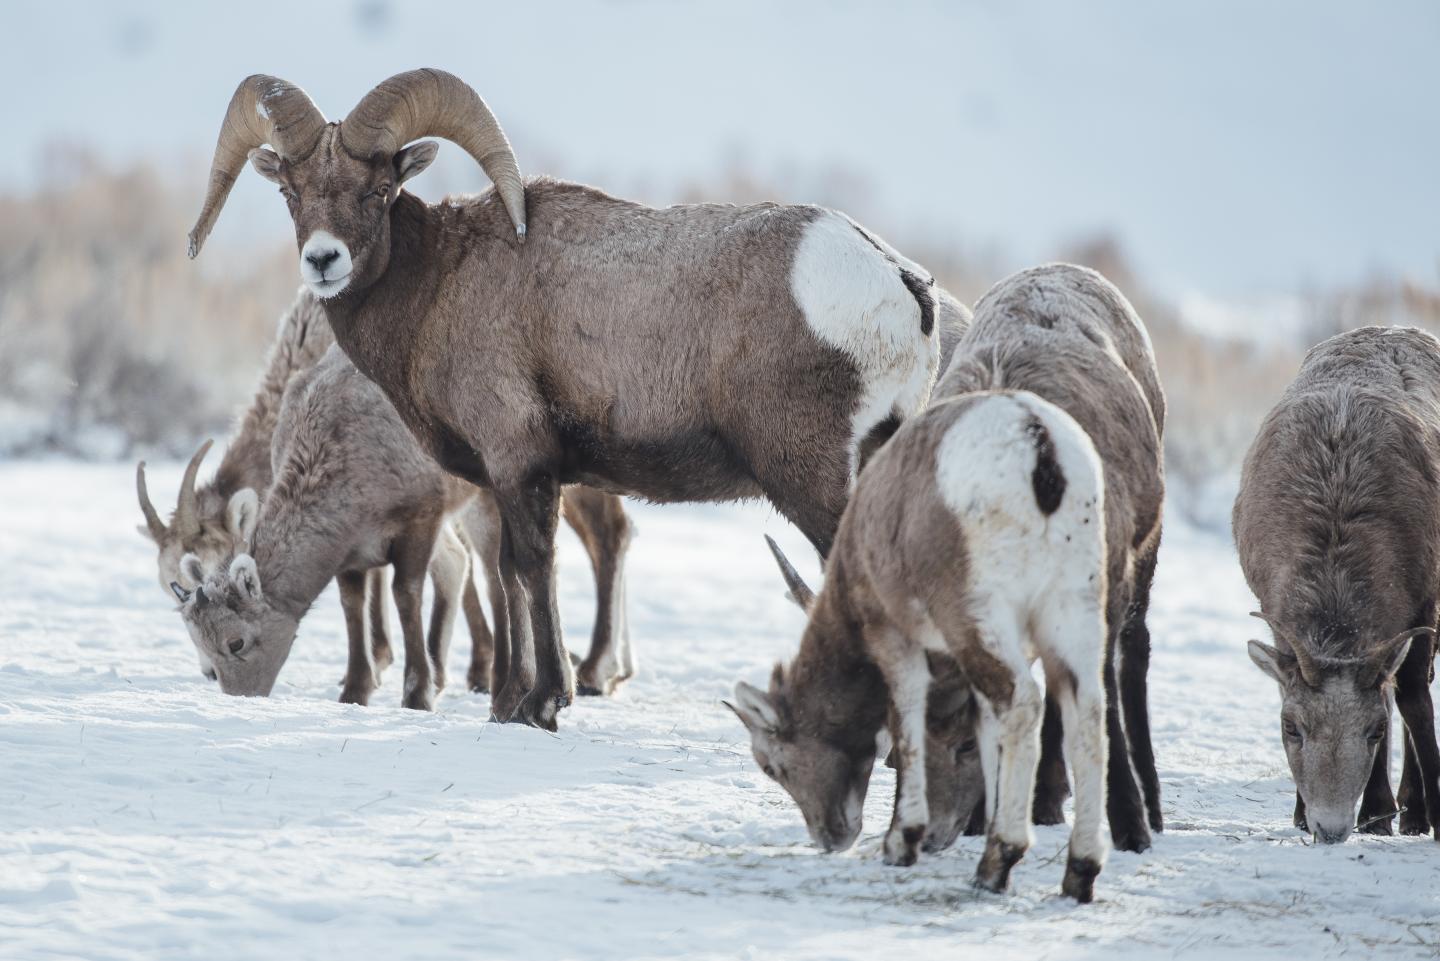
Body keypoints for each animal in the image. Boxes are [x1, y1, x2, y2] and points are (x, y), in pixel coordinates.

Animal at [182, 69, 944, 729]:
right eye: (293, 191)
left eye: (378, 188)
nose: (323, 260)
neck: (438, 287)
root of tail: (902, 283)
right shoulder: (500, 479)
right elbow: (508, 573)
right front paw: (512, 702)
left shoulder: (519, 462)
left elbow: (532, 566)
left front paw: (544, 701)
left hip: (809, 477)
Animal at [731, 391, 1111, 904]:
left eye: (770, 766)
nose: (831, 837)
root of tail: (1041, 449)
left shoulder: (891, 631)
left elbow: (906, 716)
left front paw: (901, 840)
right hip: (1075, 606)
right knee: (1086, 711)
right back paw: (1079, 872)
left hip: (978, 612)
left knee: (1022, 702)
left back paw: (998, 862)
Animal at [1232, 325, 1440, 841]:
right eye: (1291, 727)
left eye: (1373, 731)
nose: (1330, 826)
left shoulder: (1423, 603)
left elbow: (1414, 702)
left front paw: (1422, 814)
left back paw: (1407, 812)